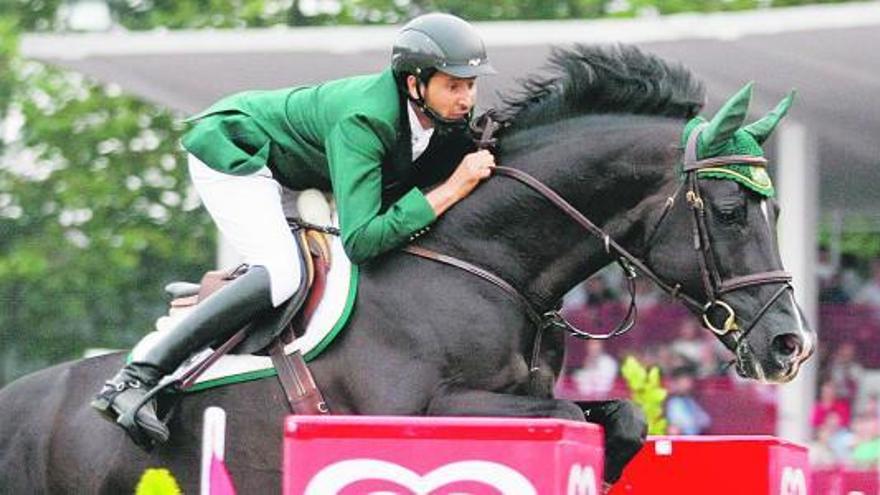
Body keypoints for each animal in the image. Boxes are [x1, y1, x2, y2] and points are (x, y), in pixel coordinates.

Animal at [0, 45, 816, 492]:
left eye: (776, 209)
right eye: (730, 210)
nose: (790, 345)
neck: (485, 265)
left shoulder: (524, 396)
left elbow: (618, 416)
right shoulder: (418, 408)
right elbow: (563, 421)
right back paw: (131, 394)